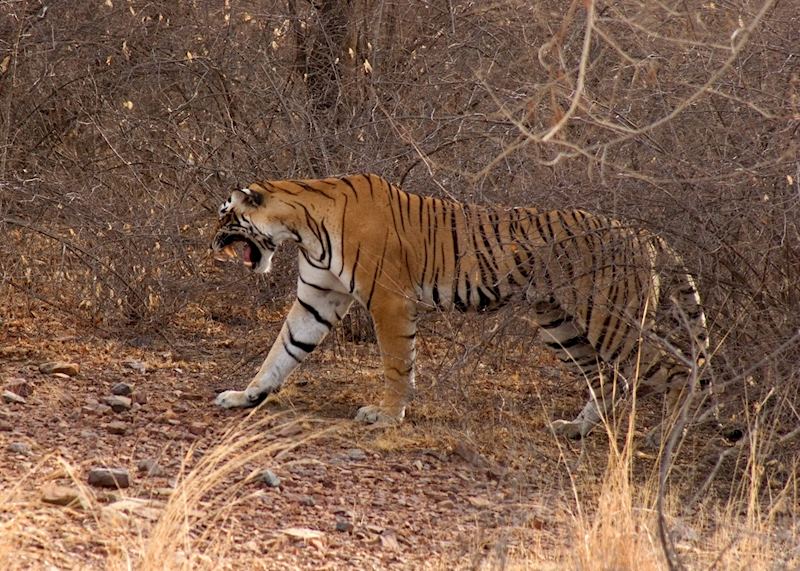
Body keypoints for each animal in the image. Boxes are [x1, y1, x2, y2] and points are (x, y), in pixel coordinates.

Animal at [210, 173, 709, 439]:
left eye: (224, 214)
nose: (211, 242)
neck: (301, 226)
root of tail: (643, 232)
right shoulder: (318, 298)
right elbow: (282, 351)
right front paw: (245, 396)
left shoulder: (389, 300)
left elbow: (397, 364)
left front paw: (386, 416)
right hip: (559, 323)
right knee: (607, 381)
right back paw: (575, 429)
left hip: (612, 321)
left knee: (677, 369)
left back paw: (667, 434)